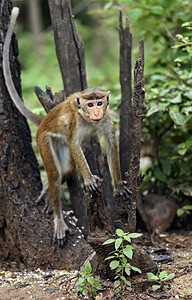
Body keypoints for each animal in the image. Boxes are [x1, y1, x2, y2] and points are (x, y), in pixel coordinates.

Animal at [3, 7, 131, 247]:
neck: (88, 119)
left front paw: (118, 184)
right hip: (44, 139)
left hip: (57, 142)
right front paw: (89, 179)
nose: (97, 112)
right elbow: (75, 144)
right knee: (54, 174)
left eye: (100, 103)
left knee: (68, 169)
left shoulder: (108, 118)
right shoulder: (75, 121)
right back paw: (59, 219)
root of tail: (44, 120)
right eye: (90, 105)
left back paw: (45, 192)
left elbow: (111, 145)